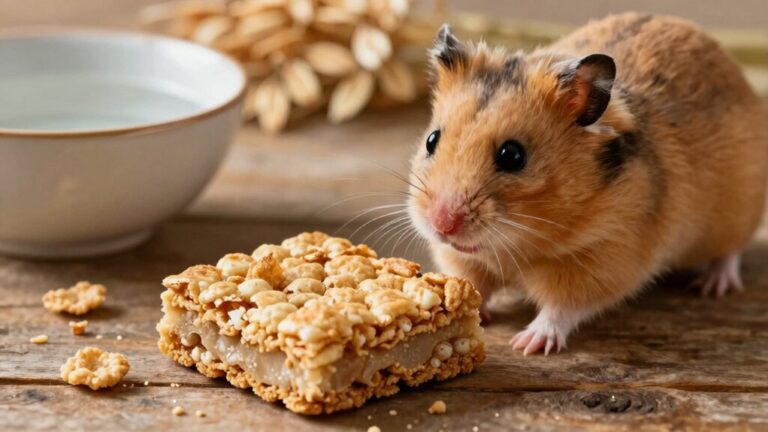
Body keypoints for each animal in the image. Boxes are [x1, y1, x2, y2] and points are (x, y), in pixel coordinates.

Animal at [407, 12, 768, 355]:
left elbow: (561, 308)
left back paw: (714, 285)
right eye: (431, 140)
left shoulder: (603, 259)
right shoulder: (463, 260)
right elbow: (474, 283)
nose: (442, 225)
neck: (518, 247)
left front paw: (527, 344)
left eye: (512, 155)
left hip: (735, 215)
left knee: (730, 252)